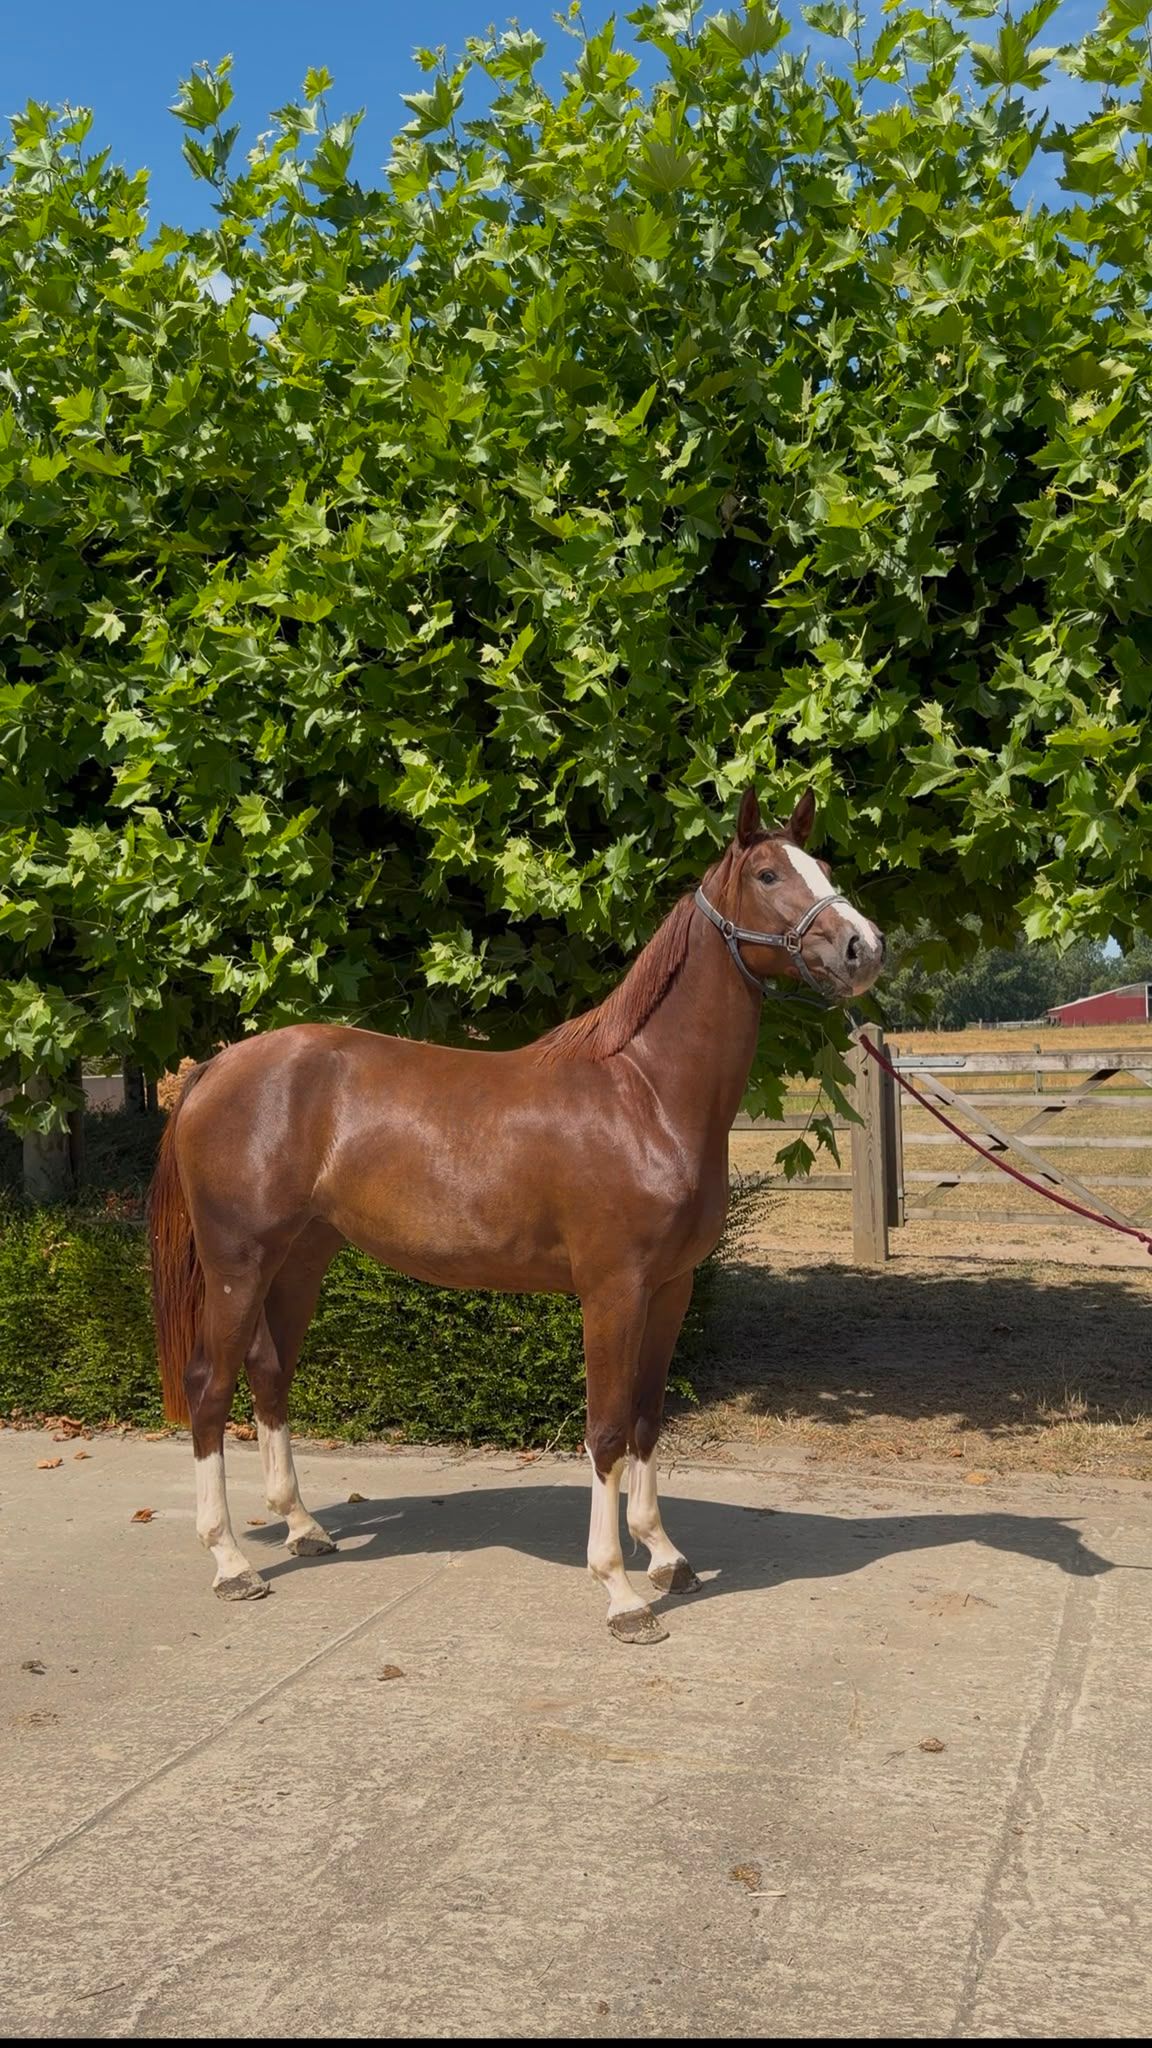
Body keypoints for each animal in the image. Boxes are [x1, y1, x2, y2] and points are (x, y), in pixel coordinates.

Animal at [148, 786, 884, 1643]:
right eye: (769, 874)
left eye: (822, 864)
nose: (864, 948)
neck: (646, 1095)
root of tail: (215, 1068)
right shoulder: (613, 1291)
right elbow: (605, 1429)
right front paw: (621, 1592)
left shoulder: (672, 1290)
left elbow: (646, 1418)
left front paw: (665, 1556)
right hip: (237, 1261)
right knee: (210, 1386)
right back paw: (232, 1562)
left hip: (300, 1258)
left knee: (269, 1374)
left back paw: (302, 1528)